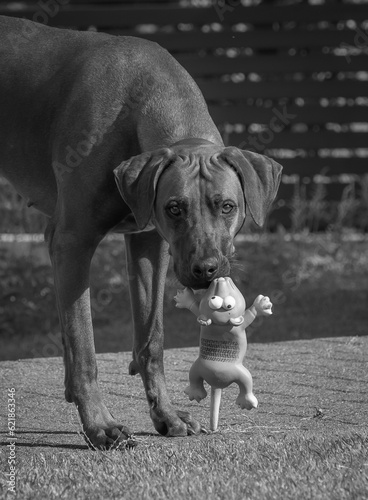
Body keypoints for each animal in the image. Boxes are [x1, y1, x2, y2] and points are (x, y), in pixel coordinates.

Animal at [0, 15, 282, 448]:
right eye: (174, 208)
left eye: (227, 206)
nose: (207, 270)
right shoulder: (73, 241)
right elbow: (84, 348)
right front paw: (99, 425)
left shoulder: (149, 243)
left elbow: (153, 339)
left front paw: (165, 415)